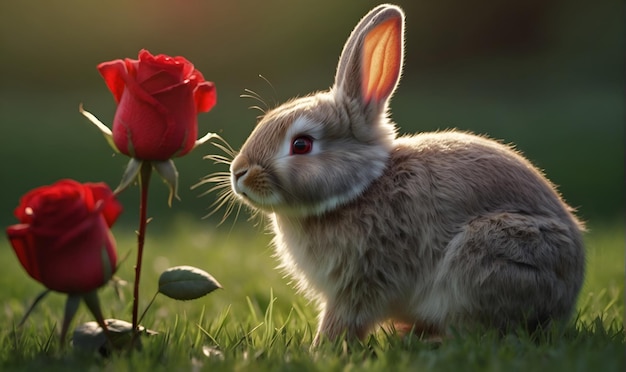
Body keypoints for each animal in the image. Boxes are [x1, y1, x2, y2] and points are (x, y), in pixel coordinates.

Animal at [225, 2, 584, 346]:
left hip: (490, 256)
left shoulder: (361, 281)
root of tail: (569, 294)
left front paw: (319, 349)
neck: (360, 188)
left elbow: (343, 320)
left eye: (301, 144)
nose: (238, 173)